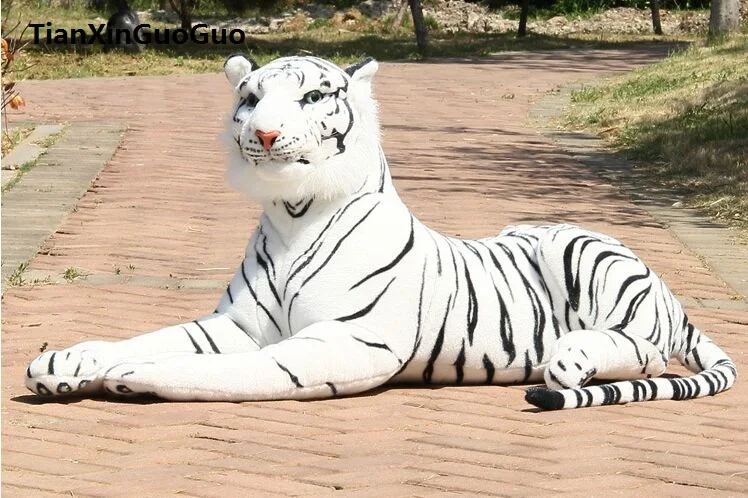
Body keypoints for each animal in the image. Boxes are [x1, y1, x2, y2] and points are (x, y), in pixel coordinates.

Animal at [25, 54, 737, 410]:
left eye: (313, 98)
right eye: (250, 99)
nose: (264, 134)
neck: (291, 215)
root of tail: (672, 296)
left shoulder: (346, 341)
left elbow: (224, 369)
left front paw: (131, 371)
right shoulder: (234, 324)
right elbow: (158, 335)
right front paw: (70, 359)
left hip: (584, 250)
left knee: (644, 349)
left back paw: (572, 355)